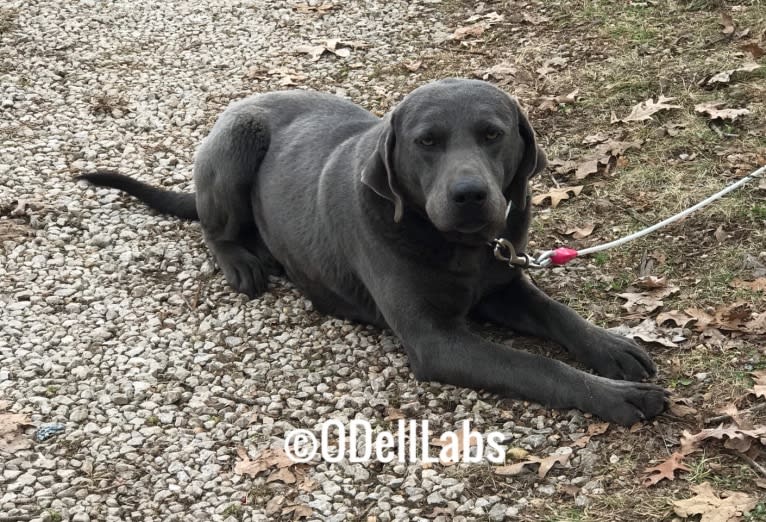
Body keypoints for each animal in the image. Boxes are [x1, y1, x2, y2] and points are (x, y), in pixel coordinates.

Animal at [78, 79, 664, 424]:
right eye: (427, 141)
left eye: (493, 134)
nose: (470, 195)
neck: (457, 246)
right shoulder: (436, 341)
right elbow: (538, 367)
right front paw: (619, 397)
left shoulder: (504, 281)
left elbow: (558, 314)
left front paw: (610, 347)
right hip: (235, 146)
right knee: (210, 224)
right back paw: (242, 260)